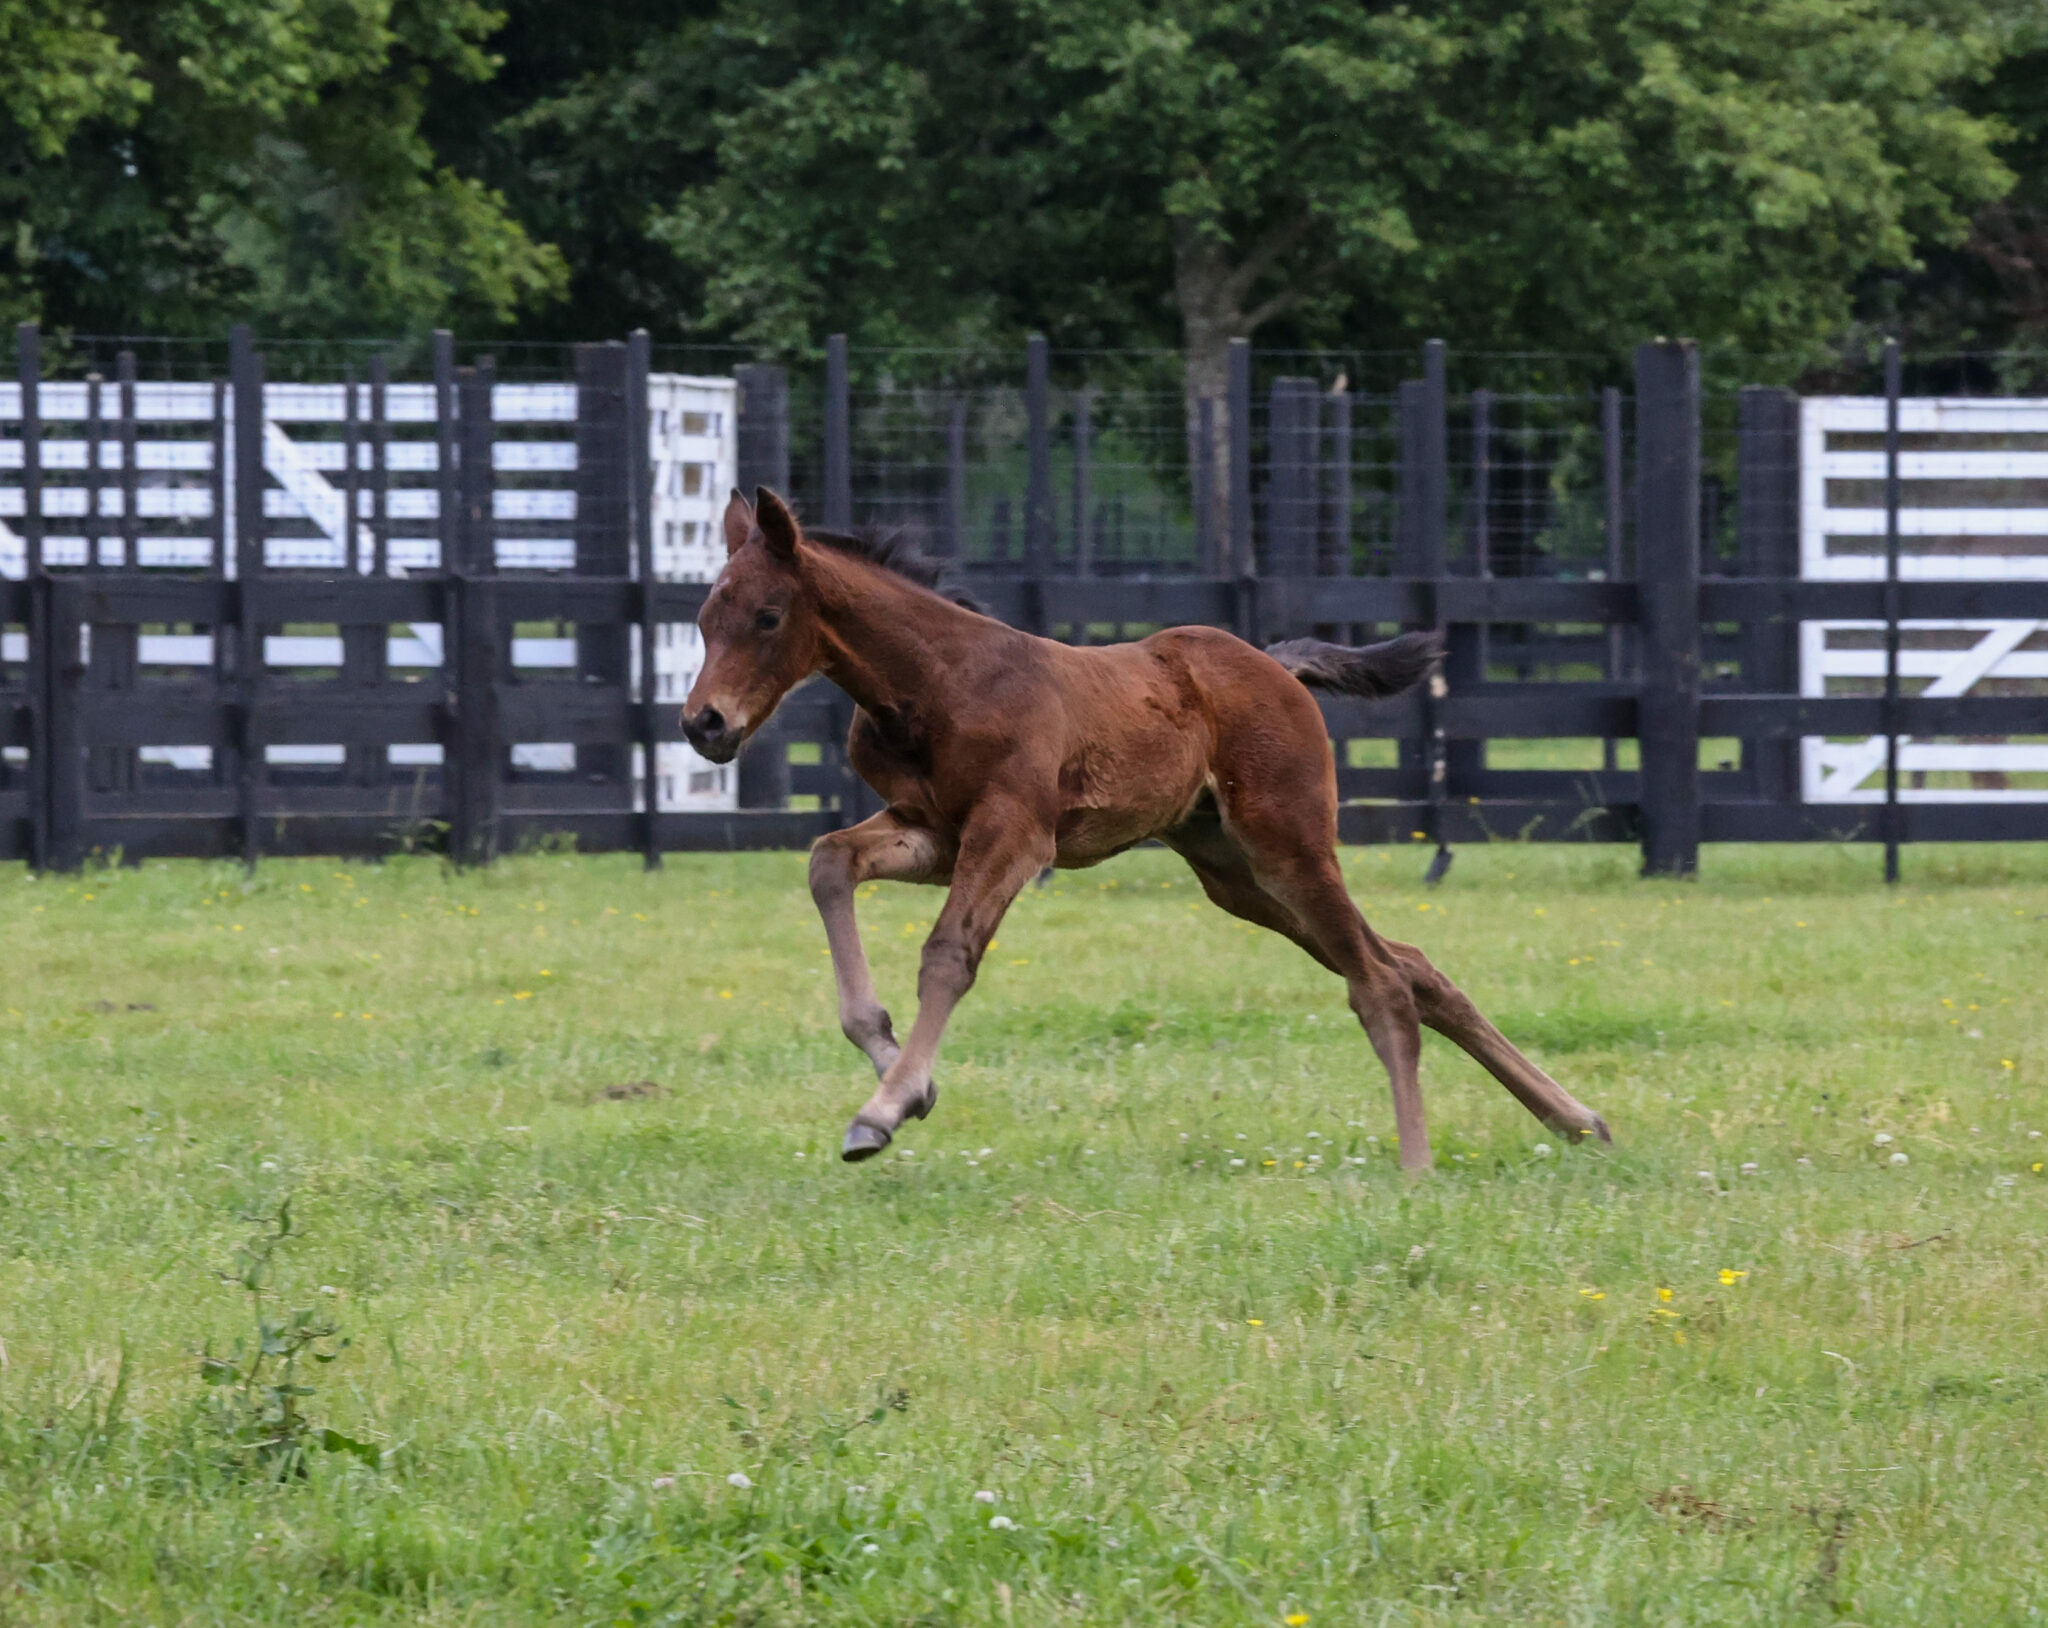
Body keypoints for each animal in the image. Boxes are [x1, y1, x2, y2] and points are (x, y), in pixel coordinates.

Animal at [688, 487, 1613, 1171]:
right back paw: (1577, 1121)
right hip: (1238, 876)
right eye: (701, 618)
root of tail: (1276, 665)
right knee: (1414, 966)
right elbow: (827, 862)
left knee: (1380, 982)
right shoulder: (933, 831)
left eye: (768, 616)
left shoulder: (1014, 833)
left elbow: (948, 955)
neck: (937, 684)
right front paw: (891, 1063)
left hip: (1288, 844)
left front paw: (884, 1110)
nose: (704, 723)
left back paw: (1418, 1166)